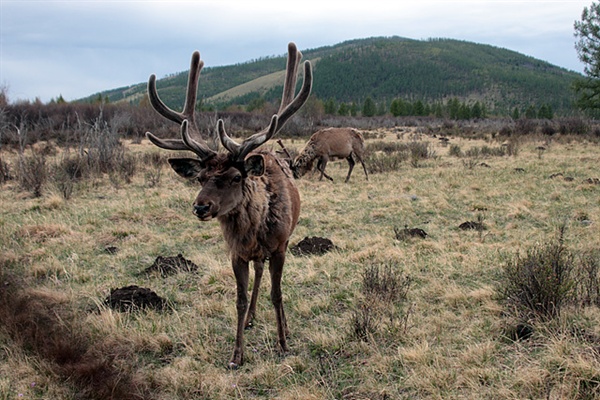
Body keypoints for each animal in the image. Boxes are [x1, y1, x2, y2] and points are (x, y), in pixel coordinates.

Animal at [146, 42, 314, 368]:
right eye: (200, 177)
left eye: (236, 177)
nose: (201, 207)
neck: (253, 232)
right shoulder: (235, 253)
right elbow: (239, 298)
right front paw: (237, 354)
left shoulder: (280, 246)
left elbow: (277, 294)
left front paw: (283, 343)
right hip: (255, 255)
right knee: (258, 274)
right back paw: (251, 318)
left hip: (286, 239)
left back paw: (283, 327)